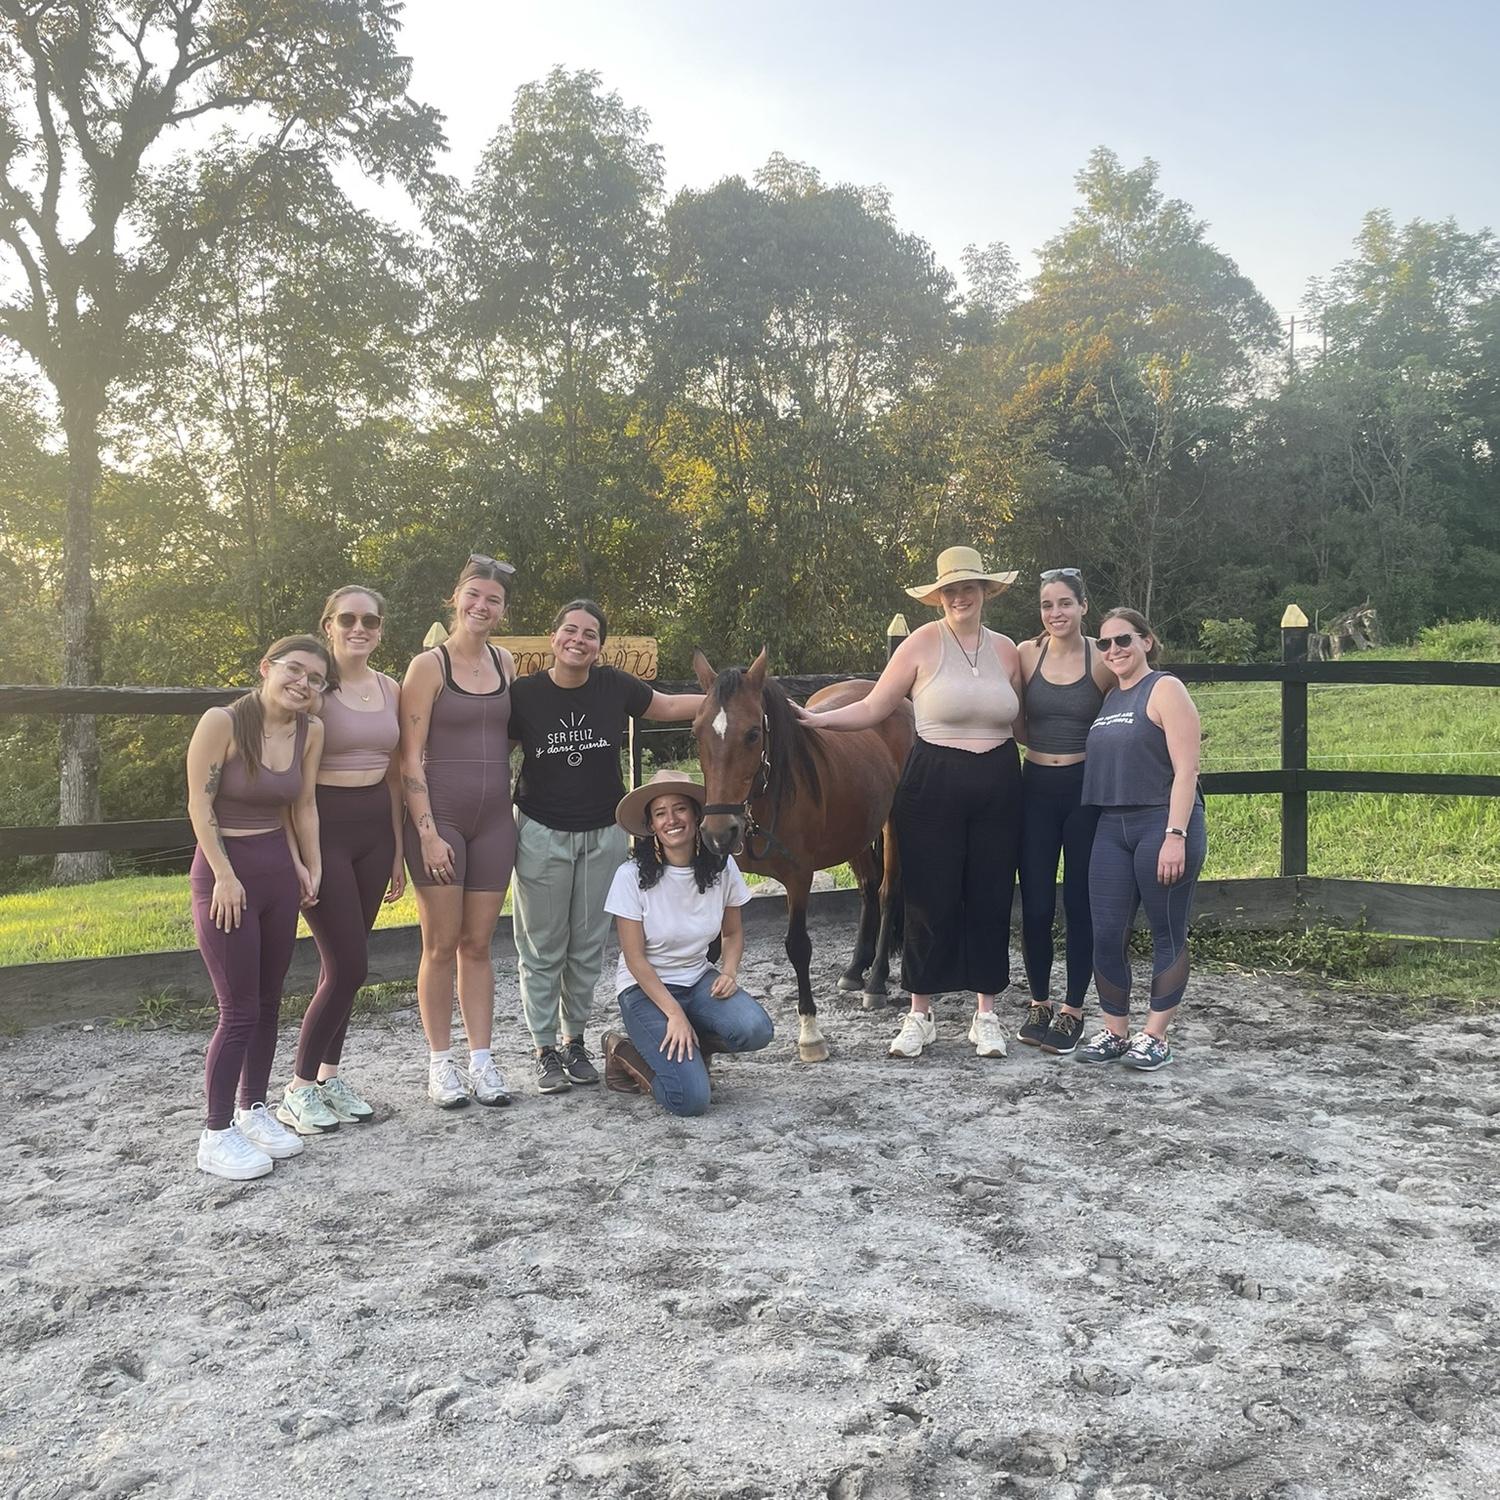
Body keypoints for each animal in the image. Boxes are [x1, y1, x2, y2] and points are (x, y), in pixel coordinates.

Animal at [693, 651, 912, 1062]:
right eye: (696, 731)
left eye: (753, 733)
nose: (717, 832)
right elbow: (709, 947)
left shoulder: (799, 878)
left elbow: (798, 947)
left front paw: (810, 1032)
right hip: (856, 834)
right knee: (868, 887)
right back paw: (855, 970)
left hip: (894, 823)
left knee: (888, 892)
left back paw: (875, 980)